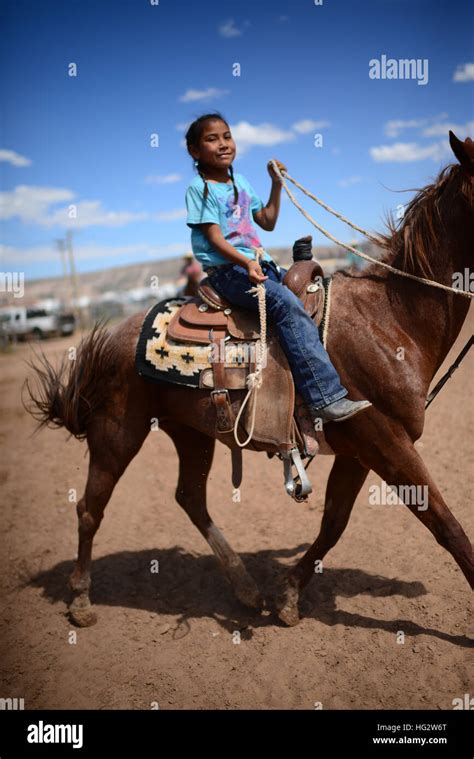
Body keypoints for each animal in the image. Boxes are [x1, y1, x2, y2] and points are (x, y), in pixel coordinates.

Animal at [25, 132, 474, 628]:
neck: (390, 319)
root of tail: (113, 337)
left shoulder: (360, 451)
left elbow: (333, 524)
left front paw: (288, 596)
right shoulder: (385, 441)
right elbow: (446, 525)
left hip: (190, 432)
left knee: (190, 498)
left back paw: (244, 589)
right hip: (117, 432)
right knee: (91, 507)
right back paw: (81, 600)